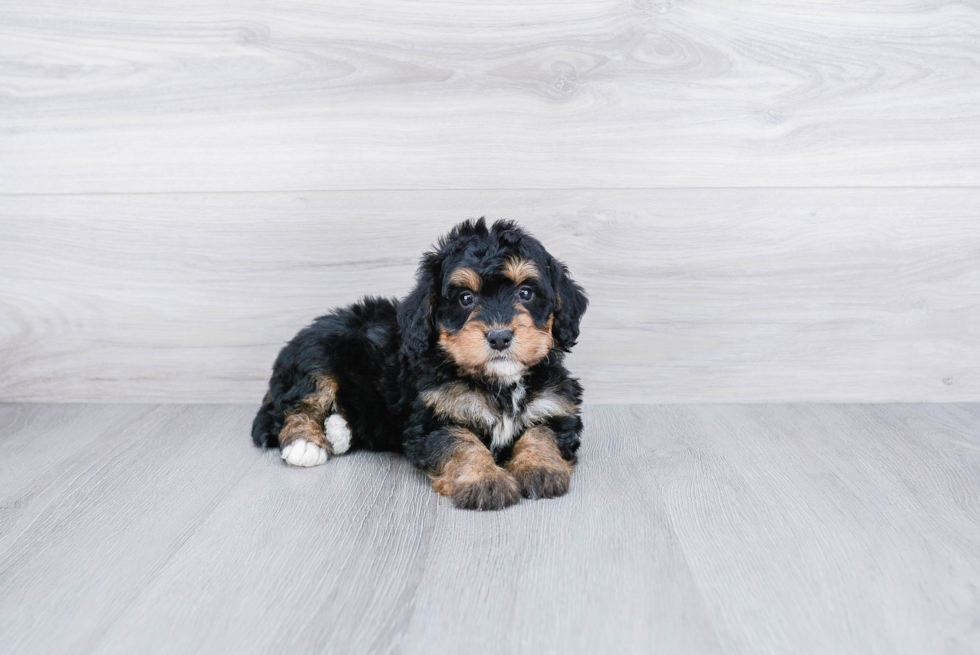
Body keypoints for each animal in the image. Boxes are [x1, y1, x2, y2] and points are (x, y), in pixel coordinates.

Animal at [255, 218, 588, 510]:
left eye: (526, 293)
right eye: (465, 298)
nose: (499, 337)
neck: (499, 382)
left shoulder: (556, 406)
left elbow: (542, 434)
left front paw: (540, 468)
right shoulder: (434, 416)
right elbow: (461, 443)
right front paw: (484, 480)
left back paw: (338, 431)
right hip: (316, 360)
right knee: (297, 406)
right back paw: (305, 444)